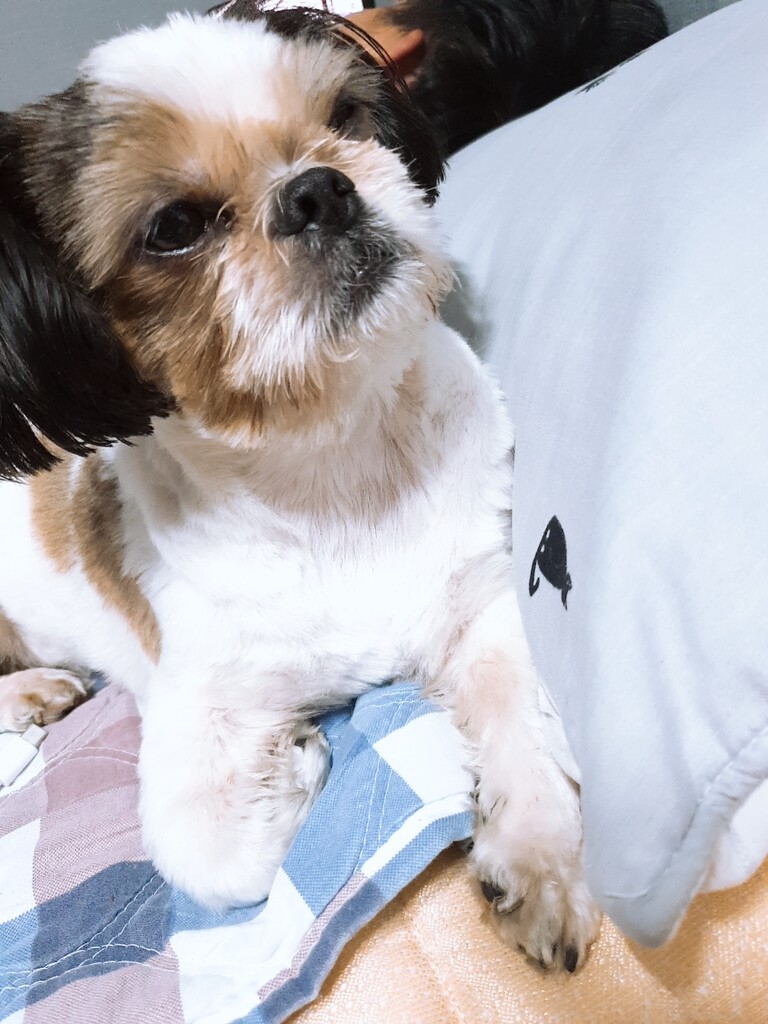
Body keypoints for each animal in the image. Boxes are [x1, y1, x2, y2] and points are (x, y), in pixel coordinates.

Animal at [0, 5, 600, 971]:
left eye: (345, 118)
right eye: (172, 227)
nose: (319, 190)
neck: (332, 465)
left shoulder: (477, 597)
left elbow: (520, 717)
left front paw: (536, 857)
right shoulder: (199, 705)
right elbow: (217, 858)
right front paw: (301, 759)